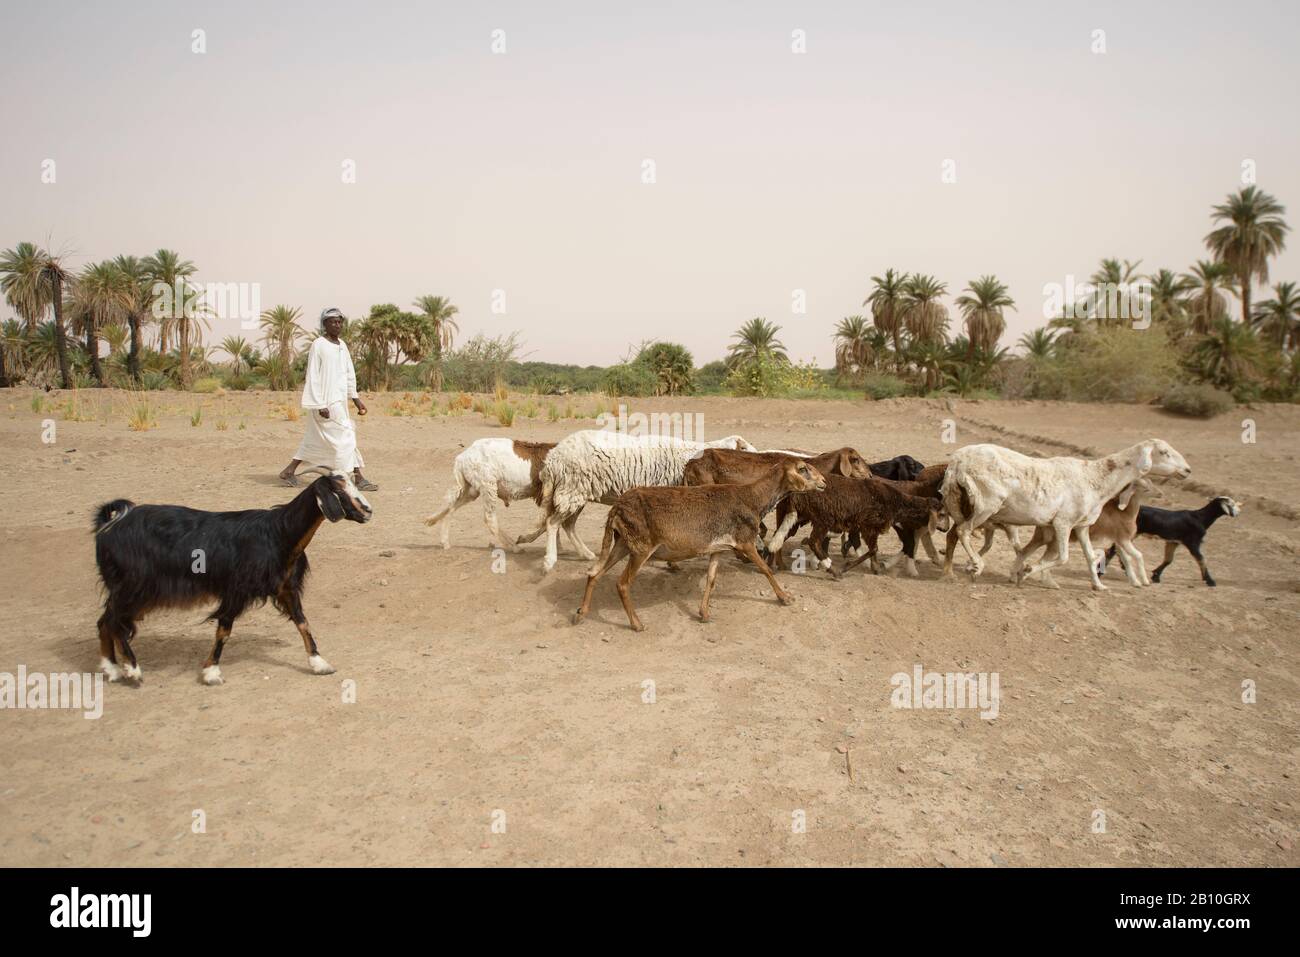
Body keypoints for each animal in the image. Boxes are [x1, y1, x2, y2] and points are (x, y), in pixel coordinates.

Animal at [92, 468, 371, 681]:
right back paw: (132, 669)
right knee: (114, 621)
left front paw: (319, 663)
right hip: (134, 586)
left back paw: (111, 668)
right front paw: (211, 672)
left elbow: (303, 623)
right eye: (339, 492)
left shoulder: (286, 587)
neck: (279, 534)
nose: (368, 511)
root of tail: (110, 525)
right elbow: (224, 629)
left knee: (105, 621)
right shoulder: (236, 589)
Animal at [520, 429, 759, 572]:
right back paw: (549, 560)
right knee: (553, 522)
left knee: (566, 524)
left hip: (576, 490)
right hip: (572, 488)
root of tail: (553, 459)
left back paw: (584, 554)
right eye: (744, 448)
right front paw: (672, 562)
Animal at [941, 436, 1190, 587]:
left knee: (954, 533)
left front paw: (1098, 585)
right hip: (986, 503)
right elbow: (1063, 557)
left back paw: (952, 569)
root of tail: (957, 461)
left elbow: (1089, 555)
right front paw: (1028, 570)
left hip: (958, 502)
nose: (1187, 470)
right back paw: (976, 566)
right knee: (963, 531)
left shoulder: (1081, 525)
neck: (1096, 478)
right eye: (1164, 452)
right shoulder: (1063, 522)